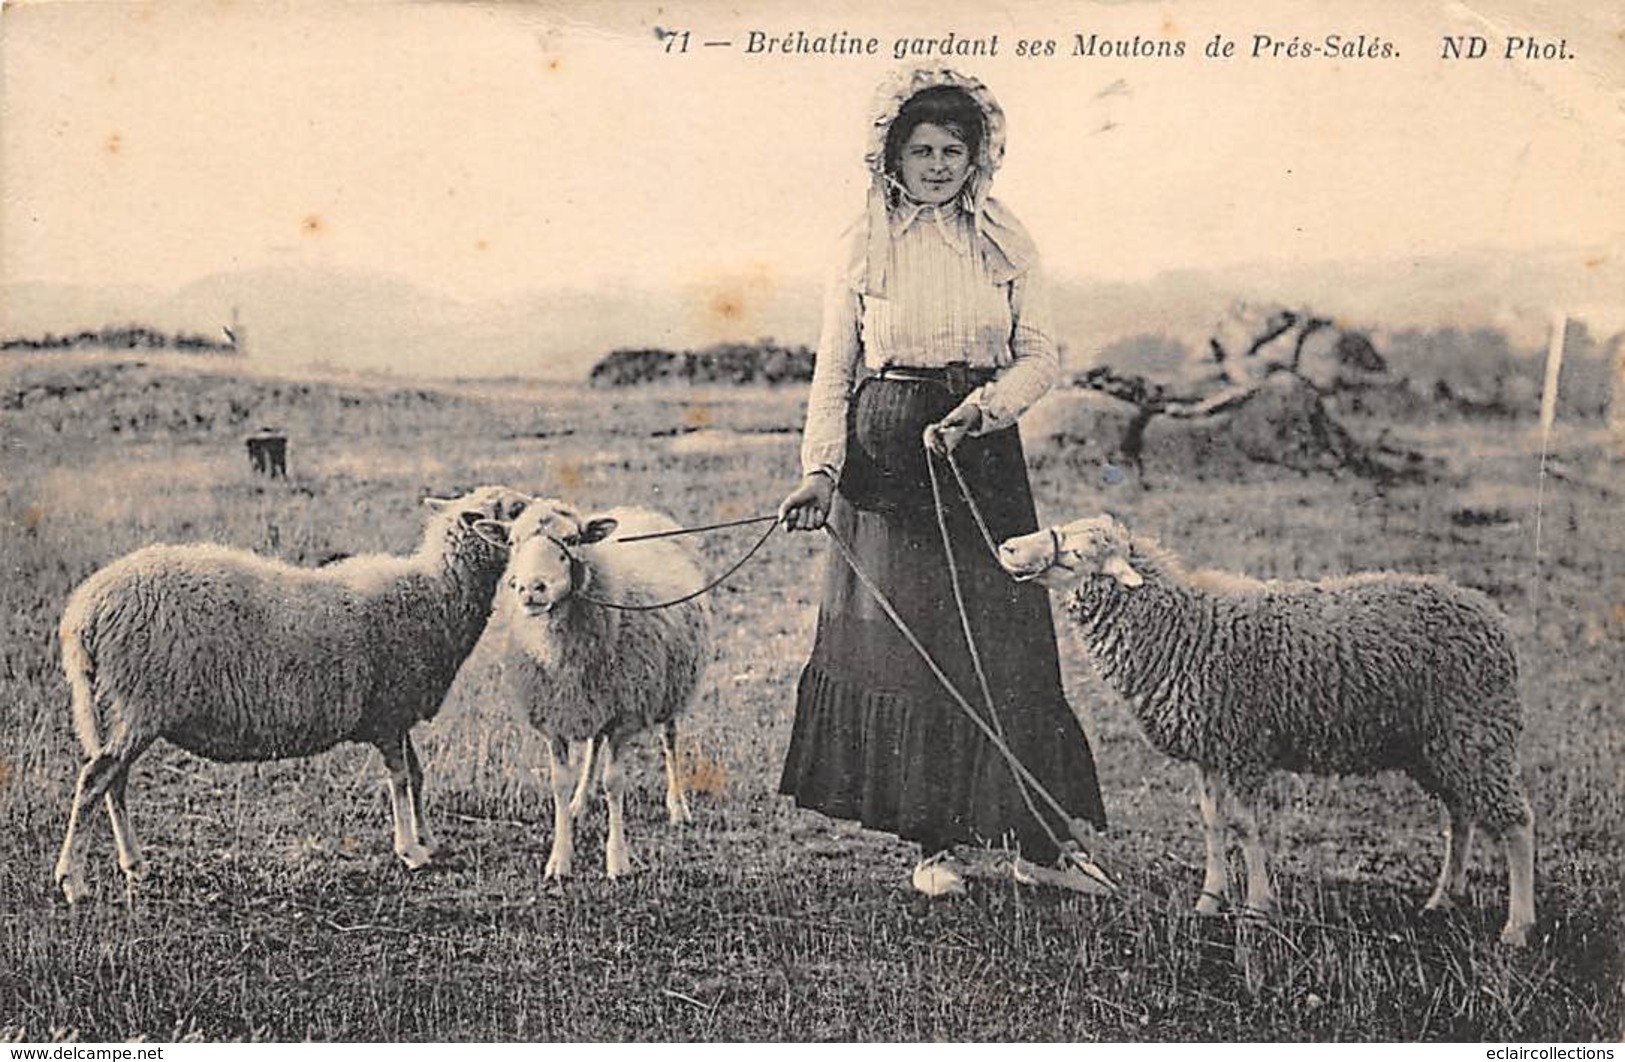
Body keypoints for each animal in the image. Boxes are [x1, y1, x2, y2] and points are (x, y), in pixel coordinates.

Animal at [52, 487, 526, 902]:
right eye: (517, 508)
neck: (434, 594)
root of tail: (84, 613)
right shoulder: (389, 711)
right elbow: (402, 779)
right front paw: (410, 850)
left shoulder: (397, 712)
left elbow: (418, 774)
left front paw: (428, 842)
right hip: (138, 703)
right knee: (95, 778)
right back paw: (73, 880)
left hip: (120, 707)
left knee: (114, 781)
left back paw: (134, 864)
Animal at [474, 500, 718, 883]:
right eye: (512, 542)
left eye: (572, 539)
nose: (531, 588)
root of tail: (639, 510)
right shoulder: (555, 718)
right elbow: (559, 783)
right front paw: (560, 858)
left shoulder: (624, 716)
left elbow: (613, 783)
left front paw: (618, 860)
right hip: (594, 700)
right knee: (593, 744)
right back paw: (580, 800)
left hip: (672, 687)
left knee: (669, 741)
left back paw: (678, 807)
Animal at [988, 516, 1534, 948]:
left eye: (1076, 554)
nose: (1007, 547)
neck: (1184, 627)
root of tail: (1489, 613)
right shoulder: (1210, 750)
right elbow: (1212, 822)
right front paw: (1209, 900)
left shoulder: (1242, 748)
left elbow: (1245, 828)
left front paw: (1256, 906)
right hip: (1437, 743)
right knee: (1460, 814)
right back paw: (1445, 896)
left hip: (1475, 729)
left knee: (1515, 822)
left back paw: (1517, 926)